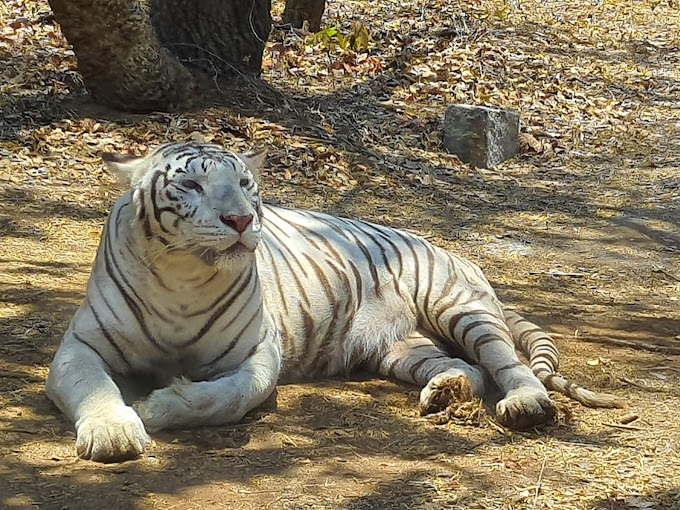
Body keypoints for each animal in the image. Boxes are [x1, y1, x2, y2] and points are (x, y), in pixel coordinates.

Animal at [46, 142, 620, 462]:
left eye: (246, 183)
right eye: (191, 183)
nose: (241, 219)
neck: (185, 276)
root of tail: (452, 251)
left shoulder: (259, 353)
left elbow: (227, 395)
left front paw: (157, 407)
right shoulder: (80, 346)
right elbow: (94, 386)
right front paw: (113, 431)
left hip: (459, 306)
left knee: (505, 363)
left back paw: (524, 404)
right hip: (400, 348)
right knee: (467, 369)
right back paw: (446, 392)